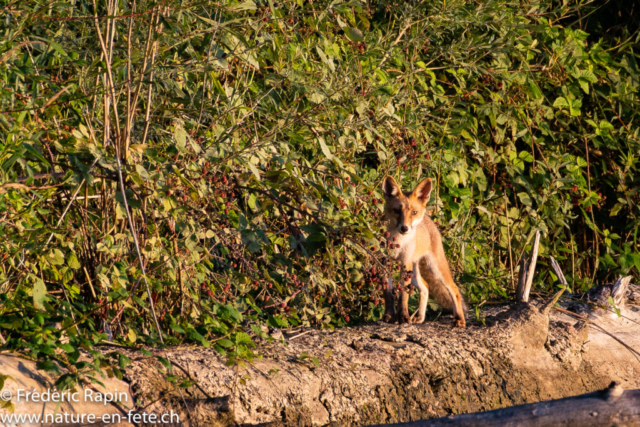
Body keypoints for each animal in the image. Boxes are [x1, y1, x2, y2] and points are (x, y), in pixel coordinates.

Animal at [380, 176, 464, 328]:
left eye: (414, 212)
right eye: (397, 210)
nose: (405, 228)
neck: (397, 242)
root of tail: (428, 218)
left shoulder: (405, 262)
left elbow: (403, 295)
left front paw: (403, 317)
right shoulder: (384, 261)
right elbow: (388, 293)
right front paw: (389, 316)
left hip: (435, 268)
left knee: (454, 289)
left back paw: (460, 319)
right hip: (415, 271)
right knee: (425, 286)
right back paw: (420, 318)